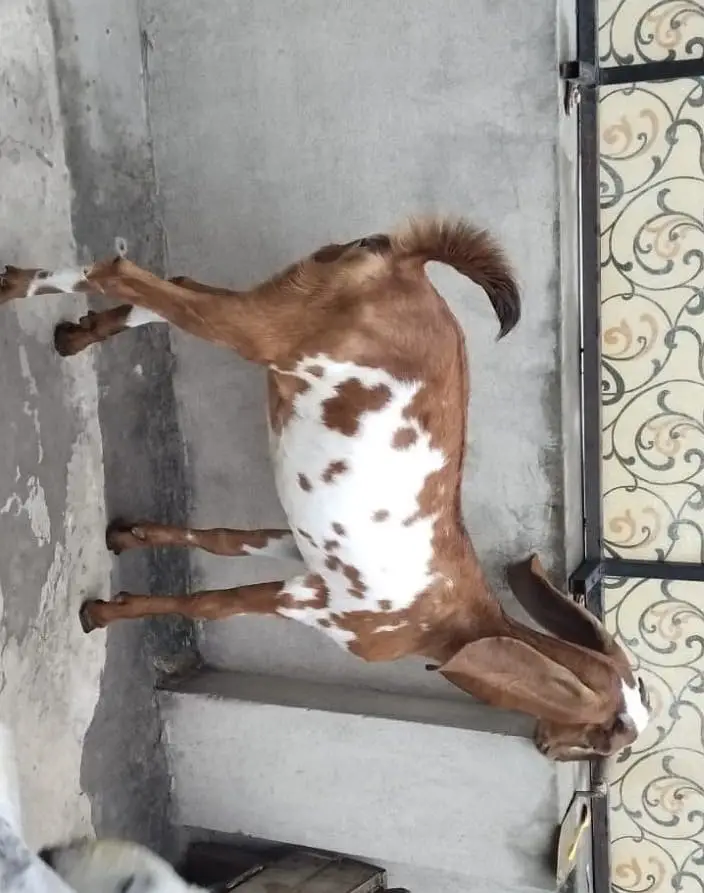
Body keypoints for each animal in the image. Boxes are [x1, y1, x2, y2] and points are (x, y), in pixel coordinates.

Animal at [0, 218, 650, 759]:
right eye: (602, 742)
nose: (548, 751)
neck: (454, 623)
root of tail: (408, 264)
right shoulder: (314, 602)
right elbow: (209, 604)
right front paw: (105, 612)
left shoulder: (299, 549)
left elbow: (218, 539)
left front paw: (127, 536)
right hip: (266, 333)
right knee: (123, 271)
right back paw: (15, 288)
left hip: (283, 299)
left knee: (171, 289)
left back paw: (72, 335)